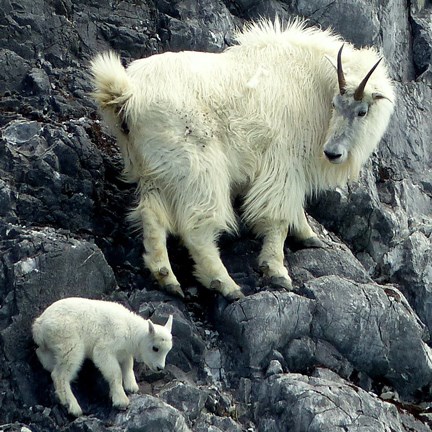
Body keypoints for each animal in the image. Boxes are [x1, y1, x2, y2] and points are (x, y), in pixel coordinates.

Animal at [31, 296, 172, 416]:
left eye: (168, 350)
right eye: (155, 348)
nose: (159, 368)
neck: (131, 330)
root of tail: (39, 325)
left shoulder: (124, 352)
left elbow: (128, 366)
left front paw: (132, 387)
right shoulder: (105, 348)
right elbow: (114, 371)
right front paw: (121, 399)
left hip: (54, 344)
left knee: (43, 355)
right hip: (69, 341)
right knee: (60, 374)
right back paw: (72, 406)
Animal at [90, 16, 394, 300]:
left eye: (362, 111)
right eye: (335, 104)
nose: (333, 152)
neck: (312, 85)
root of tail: (127, 94)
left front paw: (309, 236)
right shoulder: (283, 163)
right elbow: (277, 218)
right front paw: (277, 271)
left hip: (154, 170)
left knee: (151, 215)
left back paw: (167, 278)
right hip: (199, 168)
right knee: (197, 228)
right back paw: (225, 284)